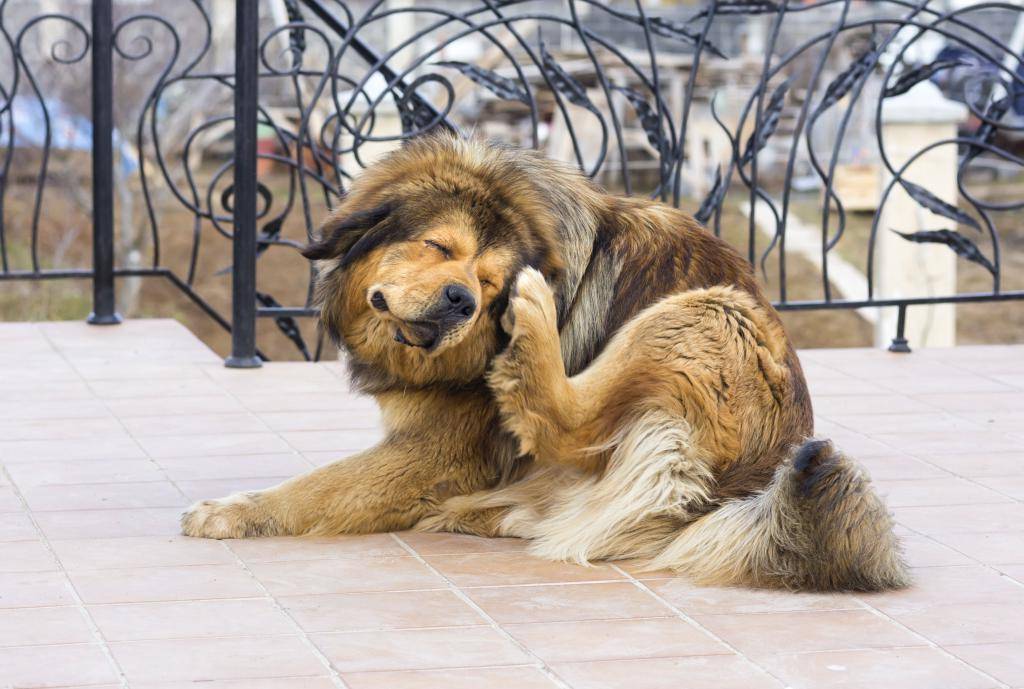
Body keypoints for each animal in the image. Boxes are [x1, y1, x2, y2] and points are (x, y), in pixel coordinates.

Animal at [182, 133, 909, 591]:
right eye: (439, 247)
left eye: (490, 281)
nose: (464, 301)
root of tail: (755, 486)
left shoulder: (437, 450)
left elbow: (318, 486)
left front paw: (233, 512)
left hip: (707, 312)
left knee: (568, 421)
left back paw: (533, 333)